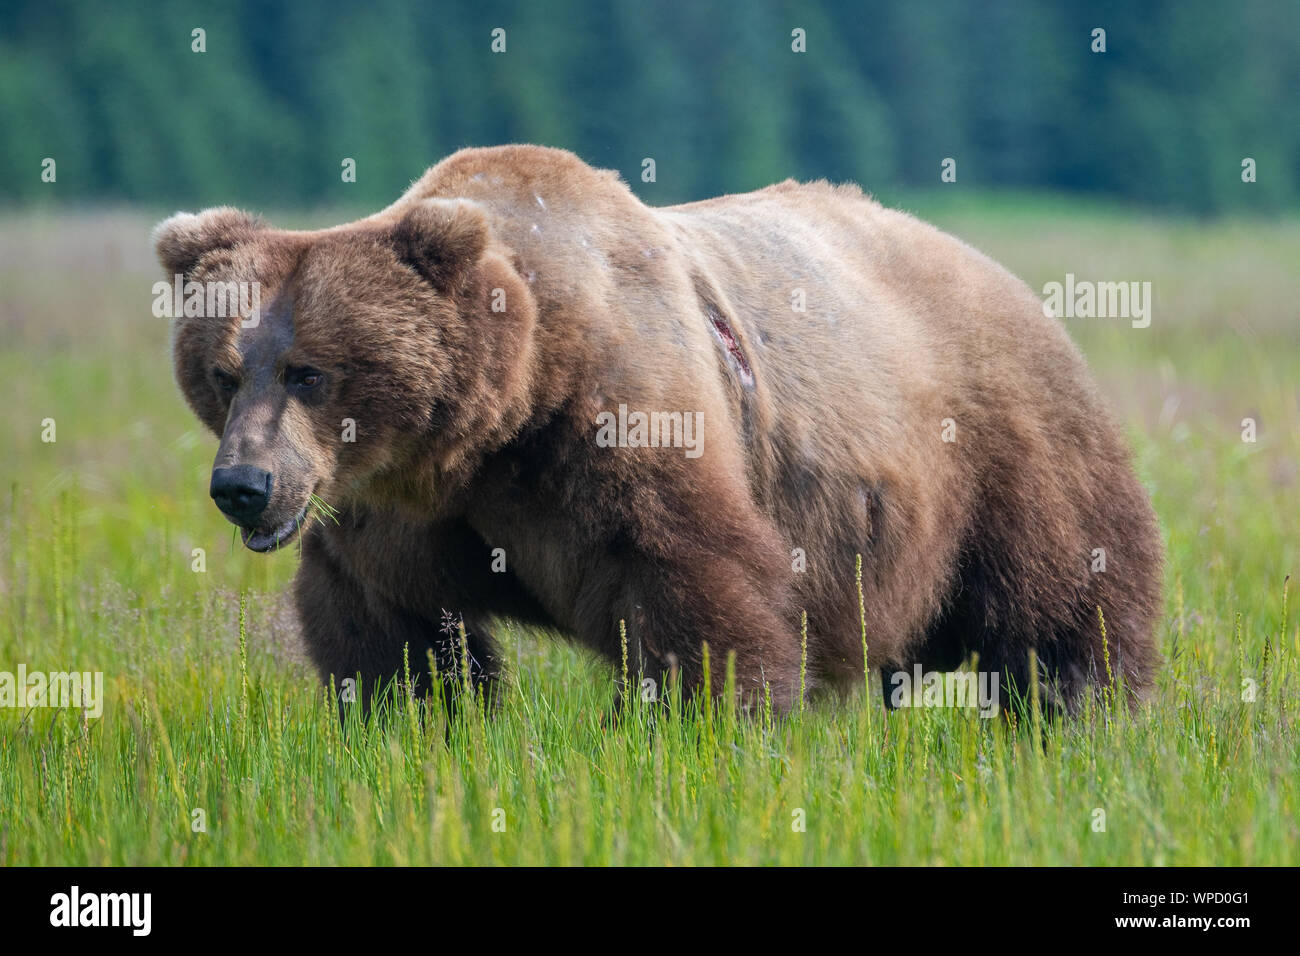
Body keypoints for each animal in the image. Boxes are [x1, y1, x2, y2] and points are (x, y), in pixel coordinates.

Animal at [157, 145, 1164, 712]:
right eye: (222, 373)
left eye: (310, 371)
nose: (242, 486)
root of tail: (996, 266)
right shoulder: (396, 510)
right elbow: (387, 633)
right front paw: (413, 724)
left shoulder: (618, 424)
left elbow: (690, 585)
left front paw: (693, 729)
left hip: (999, 442)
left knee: (1063, 597)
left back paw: (1081, 707)